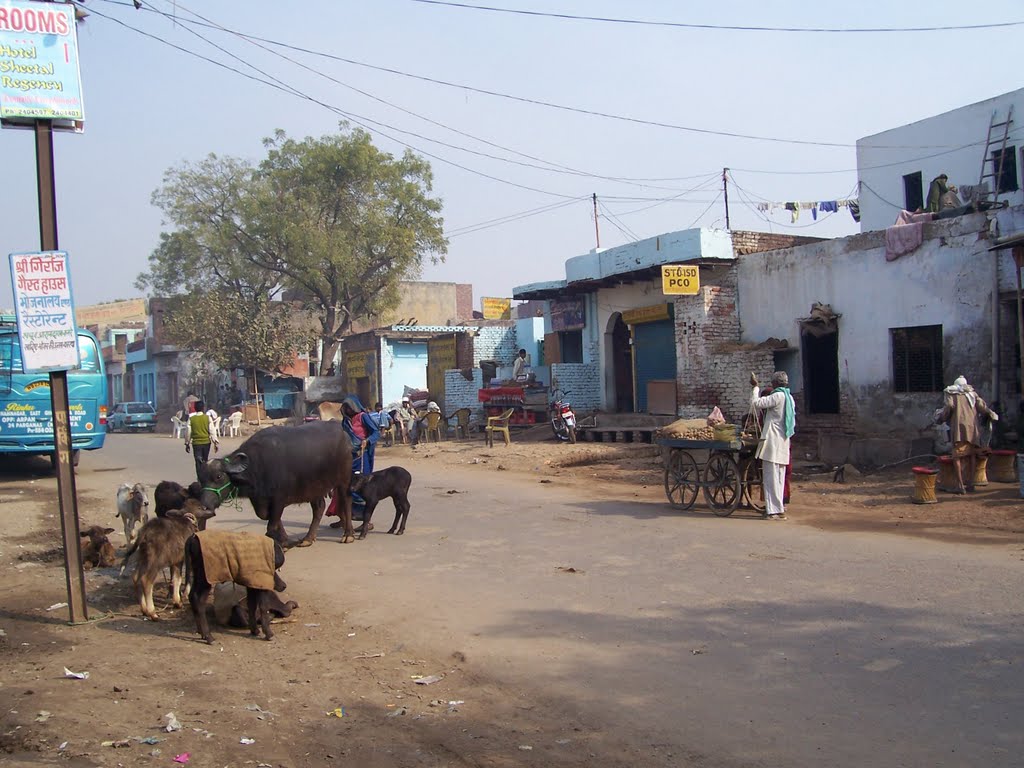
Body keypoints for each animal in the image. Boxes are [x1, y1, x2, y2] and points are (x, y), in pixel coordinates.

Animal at [196, 421, 356, 548]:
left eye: (218, 476)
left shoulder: (279, 499)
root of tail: (341, 431)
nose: (204, 506)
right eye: (201, 479)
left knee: (346, 501)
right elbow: (269, 517)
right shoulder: (261, 501)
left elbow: (272, 523)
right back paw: (308, 538)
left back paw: (348, 535)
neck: (257, 465)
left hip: (344, 480)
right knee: (319, 507)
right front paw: (285, 540)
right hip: (314, 487)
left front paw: (282, 543)